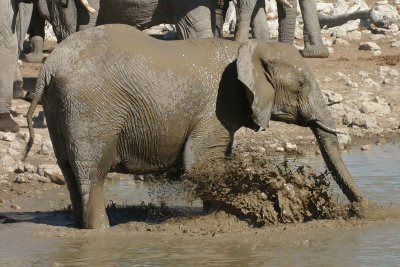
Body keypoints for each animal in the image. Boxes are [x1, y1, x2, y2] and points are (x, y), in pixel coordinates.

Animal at [26, 25, 368, 230]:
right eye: (301, 86)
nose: (362, 210)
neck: (246, 49)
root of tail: (48, 69)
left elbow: (212, 164)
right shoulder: (216, 107)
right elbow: (200, 162)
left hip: (60, 109)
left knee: (70, 172)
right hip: (91, 110)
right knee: (92, 175)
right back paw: (102, 230)